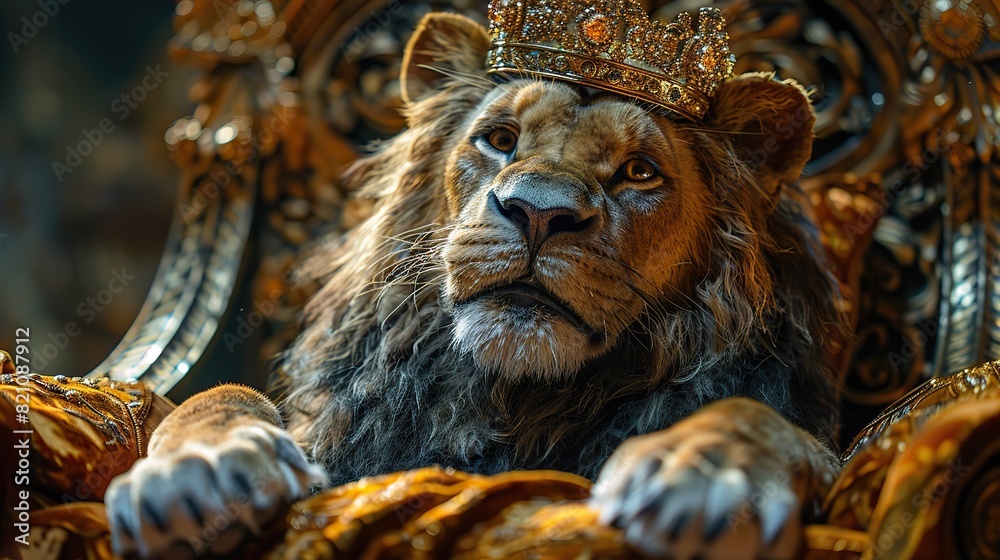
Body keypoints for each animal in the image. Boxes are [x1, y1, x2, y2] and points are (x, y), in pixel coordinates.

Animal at [105, 11, 846, 560]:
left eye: (640, 172)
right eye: (500, 138)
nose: (539, 211)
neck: (513, 401)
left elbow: (763, 420)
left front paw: (703, 472)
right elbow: (219, 393)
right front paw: (201, 468)